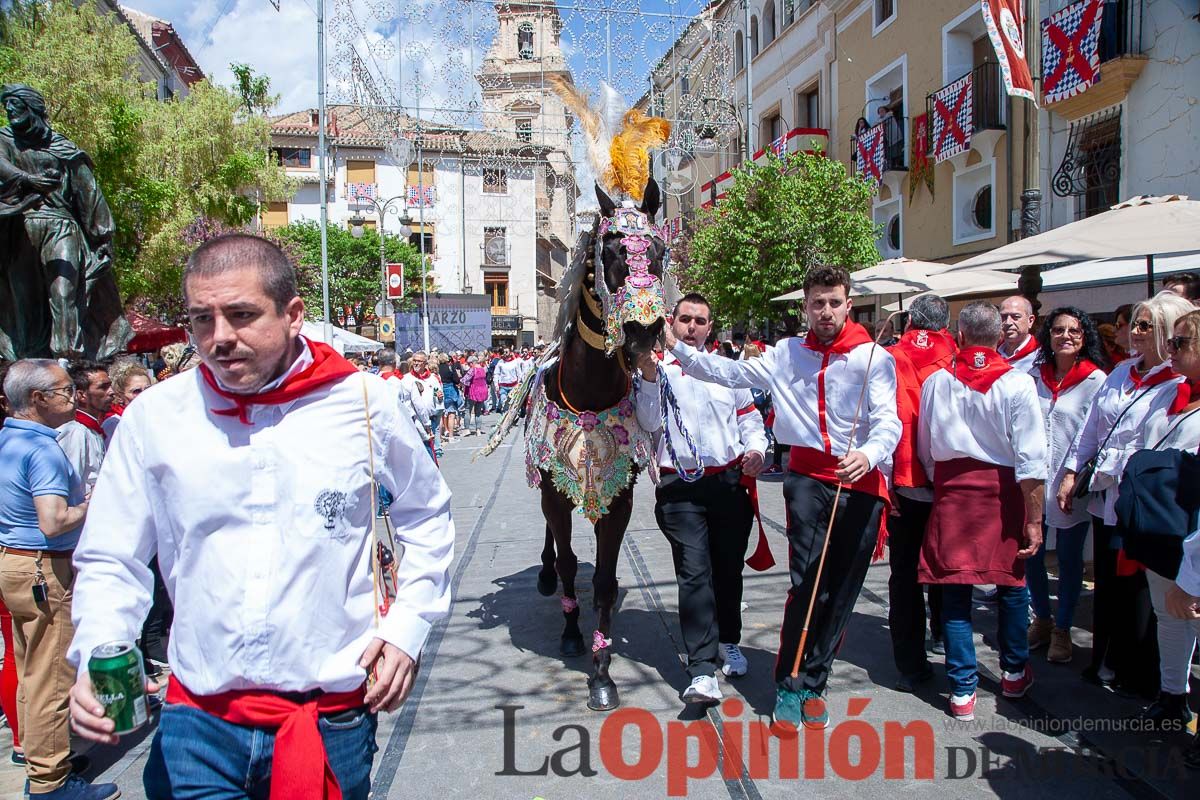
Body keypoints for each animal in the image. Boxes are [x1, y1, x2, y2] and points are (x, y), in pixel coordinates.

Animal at [480, 81, 686, 710]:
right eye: (611, 249)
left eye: (659, 253)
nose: (643, 332)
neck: (591, 390)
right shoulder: (555, 484)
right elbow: (573, 562)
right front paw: (573, 634)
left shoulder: (618, 497)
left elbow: (603, 579)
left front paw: (602, 670)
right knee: (555, 541)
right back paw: (546, 576)